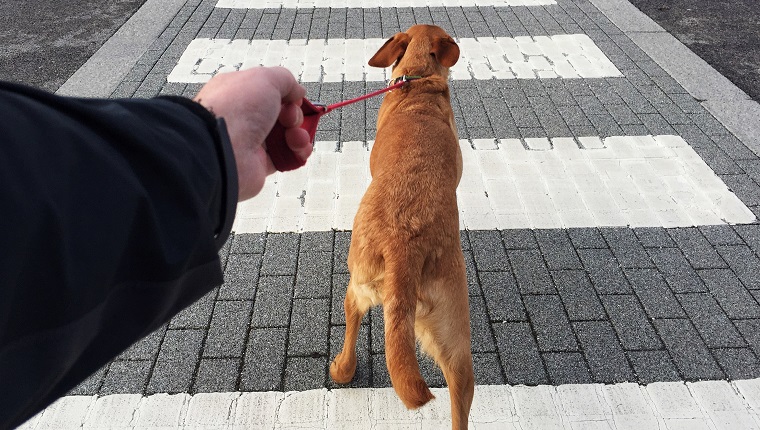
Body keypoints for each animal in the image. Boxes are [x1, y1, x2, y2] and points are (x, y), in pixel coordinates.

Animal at [328, 25, 472, 428]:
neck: (418, 81)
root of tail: (404, 246)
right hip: (455, 335)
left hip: (357, 282)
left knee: (351, 320)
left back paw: (341, 368)